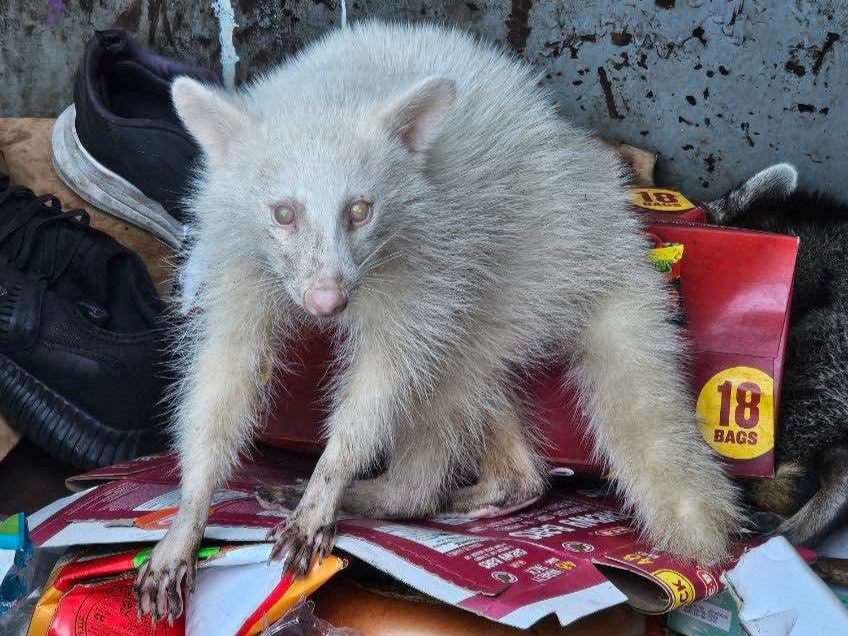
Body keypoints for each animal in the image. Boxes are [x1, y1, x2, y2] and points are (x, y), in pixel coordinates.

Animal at [135, 21, 739, 621]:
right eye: (284, 213)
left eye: (360, 211)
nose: (327, 302)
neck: (332, 87)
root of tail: (613, 233)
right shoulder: (238, 250)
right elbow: (225, 371)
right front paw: (191, 507)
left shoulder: (425, 251)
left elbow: (386, 374)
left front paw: (331, 475)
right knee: (476, 383)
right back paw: (514, 477)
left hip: (522, 262)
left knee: (448, 374)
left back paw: (401, 491)